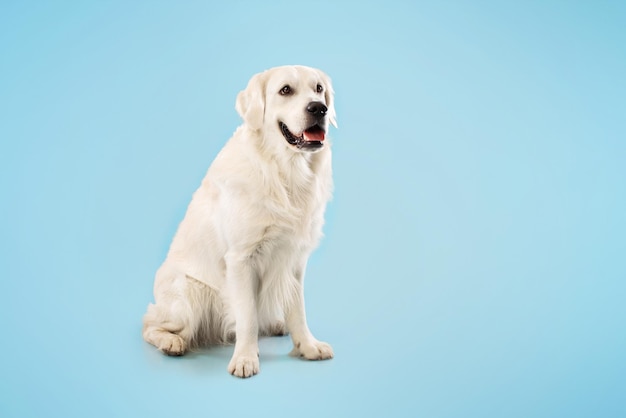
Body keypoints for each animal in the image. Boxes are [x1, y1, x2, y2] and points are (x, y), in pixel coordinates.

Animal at [142, 65, 336, 378]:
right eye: (285, 90)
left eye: (318, 89)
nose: (319, 108)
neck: (285, 173)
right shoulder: (241, 259)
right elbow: (247, 316)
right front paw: (245, 358)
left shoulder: (294, 259)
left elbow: (298, 309)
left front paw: (307, 346)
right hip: (189, 295)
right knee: (149, 323)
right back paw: (171, 342)